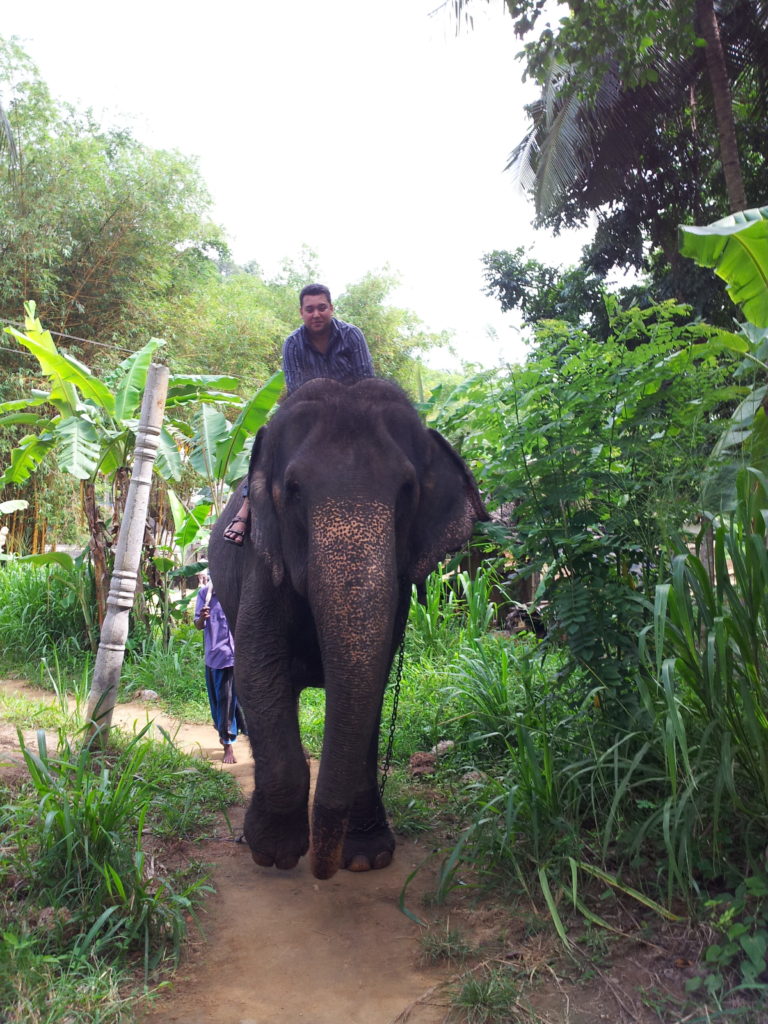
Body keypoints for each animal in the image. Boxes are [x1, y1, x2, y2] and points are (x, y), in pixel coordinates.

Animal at [207, 376, 489, 880]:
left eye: (407, 490)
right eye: (294, 490)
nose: (324, 869)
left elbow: (372, 687)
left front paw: (365, 858)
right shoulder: (262, 561)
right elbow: (260, 674)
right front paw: (275, 854)